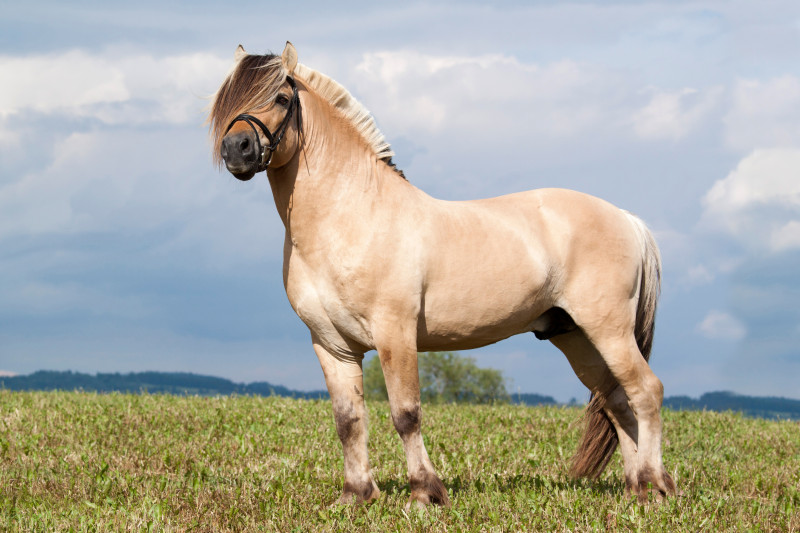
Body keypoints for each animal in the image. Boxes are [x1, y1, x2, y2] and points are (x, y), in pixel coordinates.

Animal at [206, 41, 676, 508]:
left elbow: (406, 414)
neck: (350, 216)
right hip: (576, 336)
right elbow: (348, 420)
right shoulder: (332, 346)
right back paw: (636, 488)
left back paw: (655, 485)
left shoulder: (395, 334)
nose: (237, 149)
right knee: (617, 401)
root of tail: (627, 218)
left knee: (646, 392)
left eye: (282, 98)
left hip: (607, 329)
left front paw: (424, 494)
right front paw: (356, 495)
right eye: (226, 101)